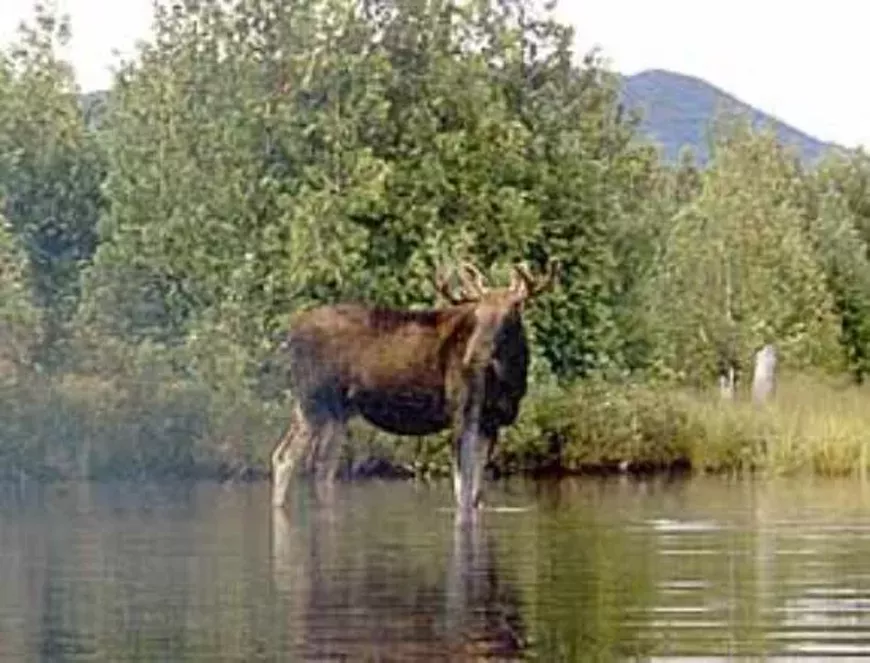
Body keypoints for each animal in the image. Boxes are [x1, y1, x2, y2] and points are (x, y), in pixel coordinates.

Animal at [270, 259, 558, 519]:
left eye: (511, 312)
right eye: (477, 314)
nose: (473, 355)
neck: (508, 380)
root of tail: (291, 333)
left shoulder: (493, 422)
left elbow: (476, 495)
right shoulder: (462, 413)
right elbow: (462, 492)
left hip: (335, 411)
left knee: (318, 467)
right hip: (313, 400)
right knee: (287, 457)